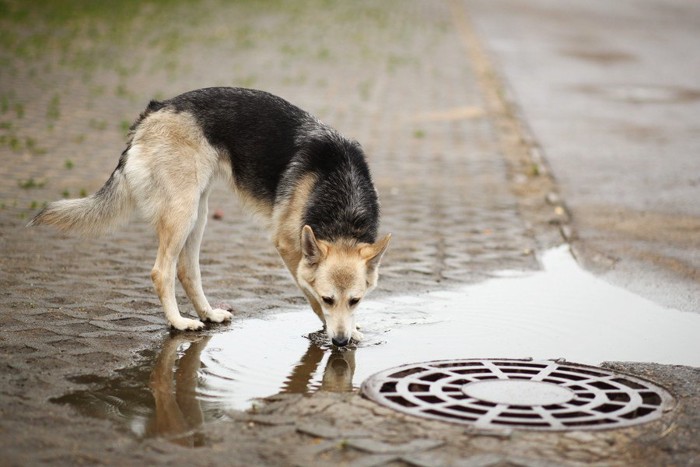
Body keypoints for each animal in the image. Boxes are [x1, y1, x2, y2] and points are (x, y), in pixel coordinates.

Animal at [30, 88, 392, 348]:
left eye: (356, 300)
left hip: (198, 214)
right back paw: (179, 322)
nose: (341, 343)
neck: (342, 206)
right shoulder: (290, 250)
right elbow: (312, 298)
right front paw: (336, 327)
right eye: (331, 298)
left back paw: (207, 314)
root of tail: (154, 111)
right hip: (183, 211)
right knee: (162, 271)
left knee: (187, 270)